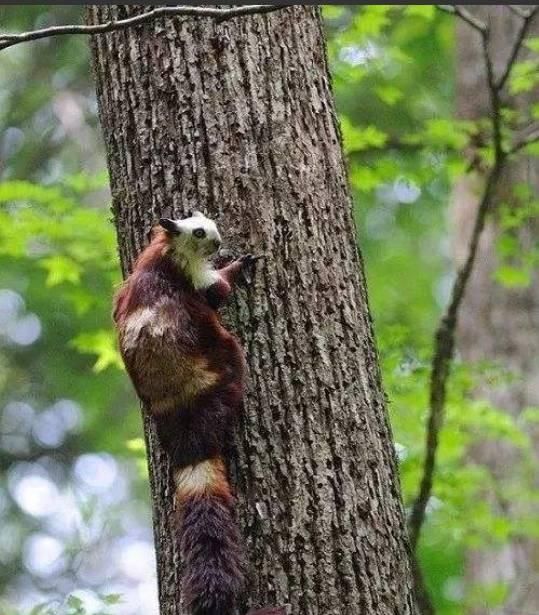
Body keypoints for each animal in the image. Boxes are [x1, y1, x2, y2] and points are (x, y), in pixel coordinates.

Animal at [112, 212, 284, 615]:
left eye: (207, 220)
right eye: (200, 232)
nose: (219, 244)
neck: (165, 250)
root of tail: (188, 428)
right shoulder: (192, 275)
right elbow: (217, 291)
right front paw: (235, 268)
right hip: (223, 359)